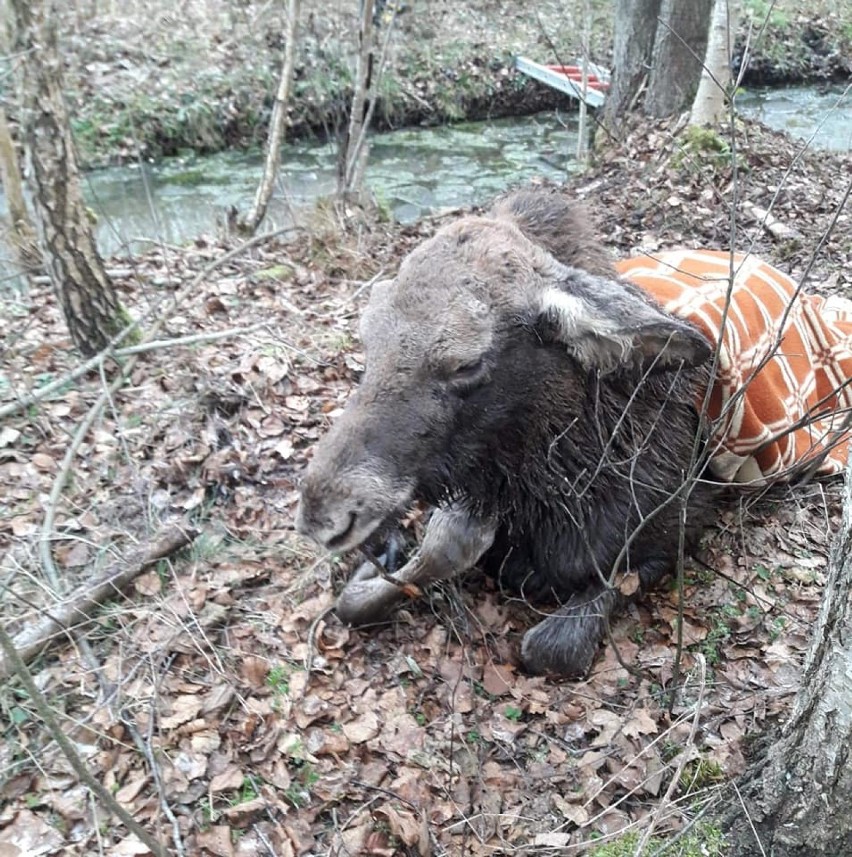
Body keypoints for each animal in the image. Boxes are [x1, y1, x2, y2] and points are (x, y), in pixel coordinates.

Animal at [298, 189, 852, 676]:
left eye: (466, 363)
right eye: (369, 339)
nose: (323, 513)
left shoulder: (674, 534)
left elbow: (549, 648)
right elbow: (373, 591)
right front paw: (383, 562)